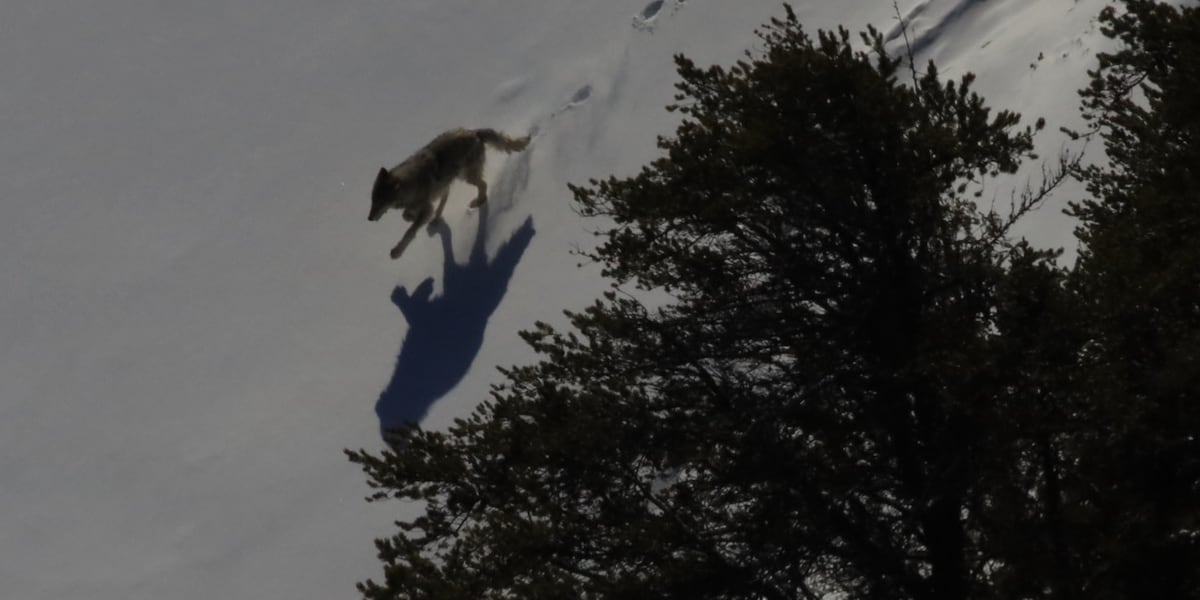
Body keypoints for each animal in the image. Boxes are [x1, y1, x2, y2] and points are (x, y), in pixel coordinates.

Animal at [369, 127, 531, 259]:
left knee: (483, 184)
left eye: (379, 202)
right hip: (456, 179)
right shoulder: (424, 205)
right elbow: (407, 216)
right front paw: (413, 217)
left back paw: (479, 202)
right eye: (372, 201)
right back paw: (436, 219)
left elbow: (410, 231)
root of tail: (474, 132)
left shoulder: (426, 208)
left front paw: (397, 252)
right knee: (447, 196)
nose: (369, 218)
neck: (411, 184)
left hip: (466, 177)